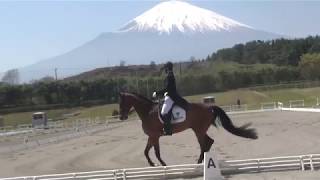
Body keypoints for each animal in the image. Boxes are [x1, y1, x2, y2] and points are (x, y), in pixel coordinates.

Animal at [118, 92, 258, 167]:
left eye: (122, 102)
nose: (121, 117)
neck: (147, 111)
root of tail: (209, 107)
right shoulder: (151, 136)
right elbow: (146, 151)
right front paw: (152, 164)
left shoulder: (155, 136)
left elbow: (156, 152)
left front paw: (163, 165)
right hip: (200, 130)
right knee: (209, 142)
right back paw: (203, 161)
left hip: (198, 130)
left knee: (204, 144)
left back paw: (199, 162)